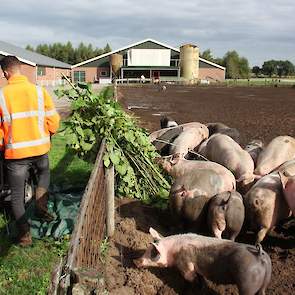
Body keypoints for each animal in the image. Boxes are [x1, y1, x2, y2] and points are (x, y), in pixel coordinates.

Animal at [135, 229, 272, 295]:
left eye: (153, 253)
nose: (135, 261)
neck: (172, 251)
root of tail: (259, 254)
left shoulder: (186, 266)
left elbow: (189, 281)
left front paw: (185, 291)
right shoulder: (197, 268)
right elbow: (201, 278)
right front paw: (201, 288)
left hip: (247, 283)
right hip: (264, 283)